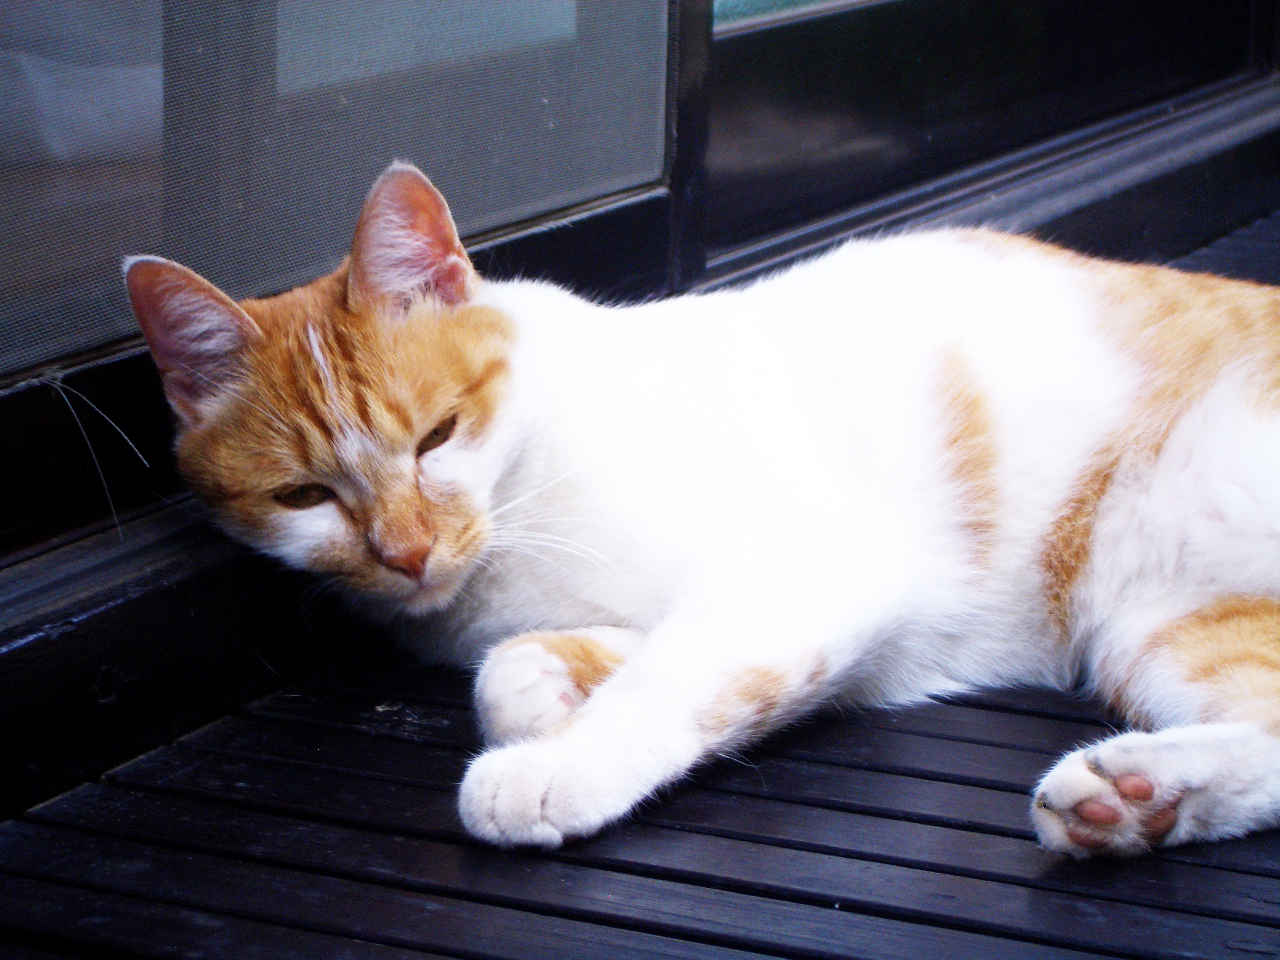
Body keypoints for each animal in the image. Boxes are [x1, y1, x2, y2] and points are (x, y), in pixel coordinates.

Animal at [122, 160, 1280, 855]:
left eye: (437, 436)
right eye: (304, 496)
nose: (405, 553)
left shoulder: (812, 569)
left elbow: (678, 679)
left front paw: (561, 759)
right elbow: (517, 672)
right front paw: (552, 690)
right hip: (1163, 629)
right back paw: (1137, 803)